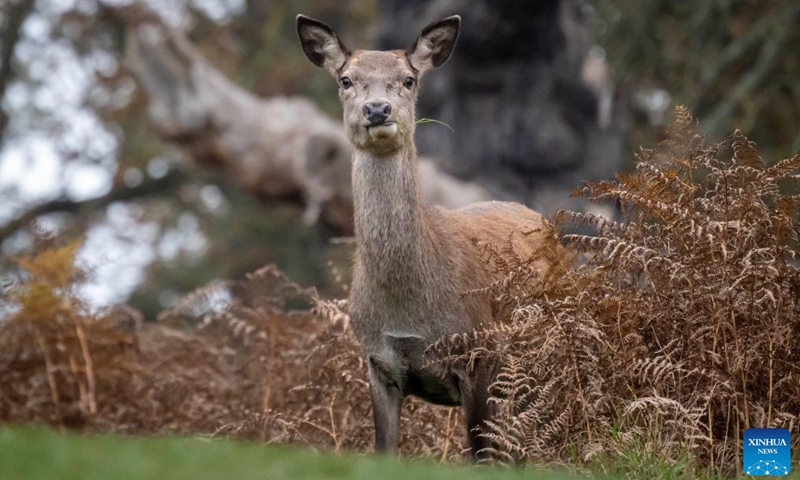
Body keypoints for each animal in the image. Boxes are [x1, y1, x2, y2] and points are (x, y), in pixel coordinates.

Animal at [296, 14, 552, 458]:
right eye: (346, 79)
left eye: (408, 79)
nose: (377, 109)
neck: (408, 311)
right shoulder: (377, 362)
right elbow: (383, 451)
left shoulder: (479, 353)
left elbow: (481, 455)